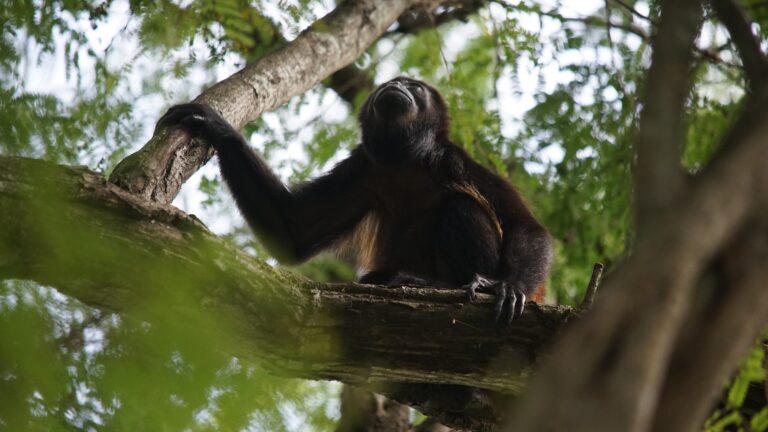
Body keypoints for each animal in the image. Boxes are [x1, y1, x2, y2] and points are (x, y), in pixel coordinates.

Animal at [158, 77, 553, 322]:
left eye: (414, 87)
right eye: (391, 84)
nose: (396, 86)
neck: (403, 161)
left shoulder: (453, 160)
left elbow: (526, 226)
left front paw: (511, 288)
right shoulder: (361, 170)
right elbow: (293, 231)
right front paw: (219, 129)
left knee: (461, 206)